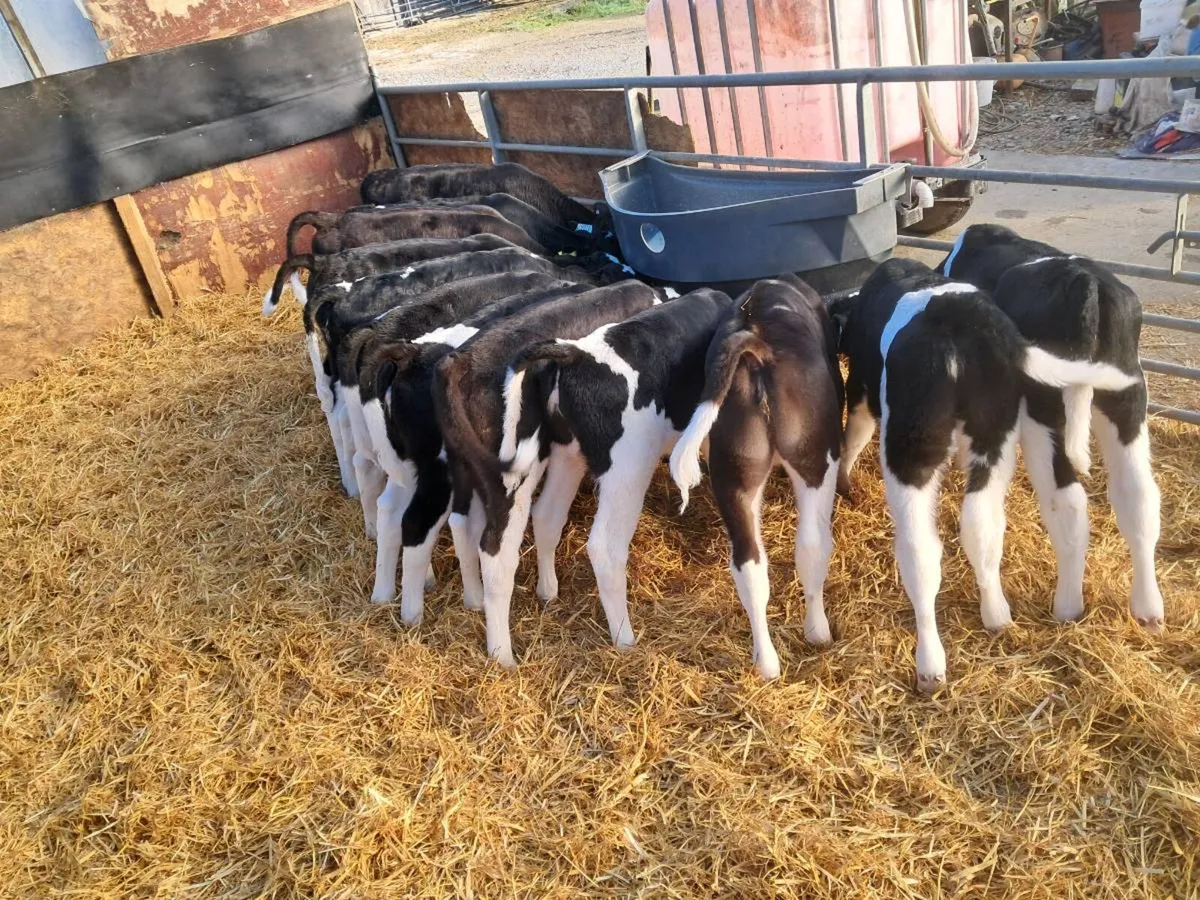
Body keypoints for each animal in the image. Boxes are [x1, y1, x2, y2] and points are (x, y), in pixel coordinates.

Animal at [431, 281, 663, 667]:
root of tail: (460, 361)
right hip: (512, 477)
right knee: (496, 552)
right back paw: (503, 655)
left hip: (462, 462)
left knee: (463, 523)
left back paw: (475, 600)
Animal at [668, 278, 844, 679]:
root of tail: (757, 346)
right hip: (815, 458)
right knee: (812, 546)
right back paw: (818, 632)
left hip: (735, 472)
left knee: (749, 564)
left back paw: (766, 662)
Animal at [830, 258, 1139, 693]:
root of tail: (962, 314)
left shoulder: (859, 387)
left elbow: (853, 436)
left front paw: (846, 485)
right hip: (1000, 433)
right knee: (989, 523)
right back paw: (1001, 614)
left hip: (911, 445)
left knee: (919, 549)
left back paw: (930, 664)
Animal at [936, 224, 1164, 631]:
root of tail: (1085, 280)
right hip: (1126, 396)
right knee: (1138, 494)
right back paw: (1148, 608)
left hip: (1043, 413)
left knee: (1067, 501)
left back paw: (1068, 606)